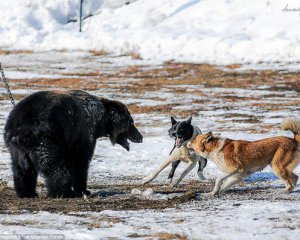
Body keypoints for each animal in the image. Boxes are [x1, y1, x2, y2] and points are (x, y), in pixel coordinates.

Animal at [3, 90, 142, 199]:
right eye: (131, 122)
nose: (140, 137)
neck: (100, 119)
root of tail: (20, 129)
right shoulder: (84, 132)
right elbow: (81, 160)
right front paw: (83, 190)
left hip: (16, 149)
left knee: (21, 169)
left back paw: (27, 192)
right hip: (48, 138)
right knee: (58, 165)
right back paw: (64, 192)